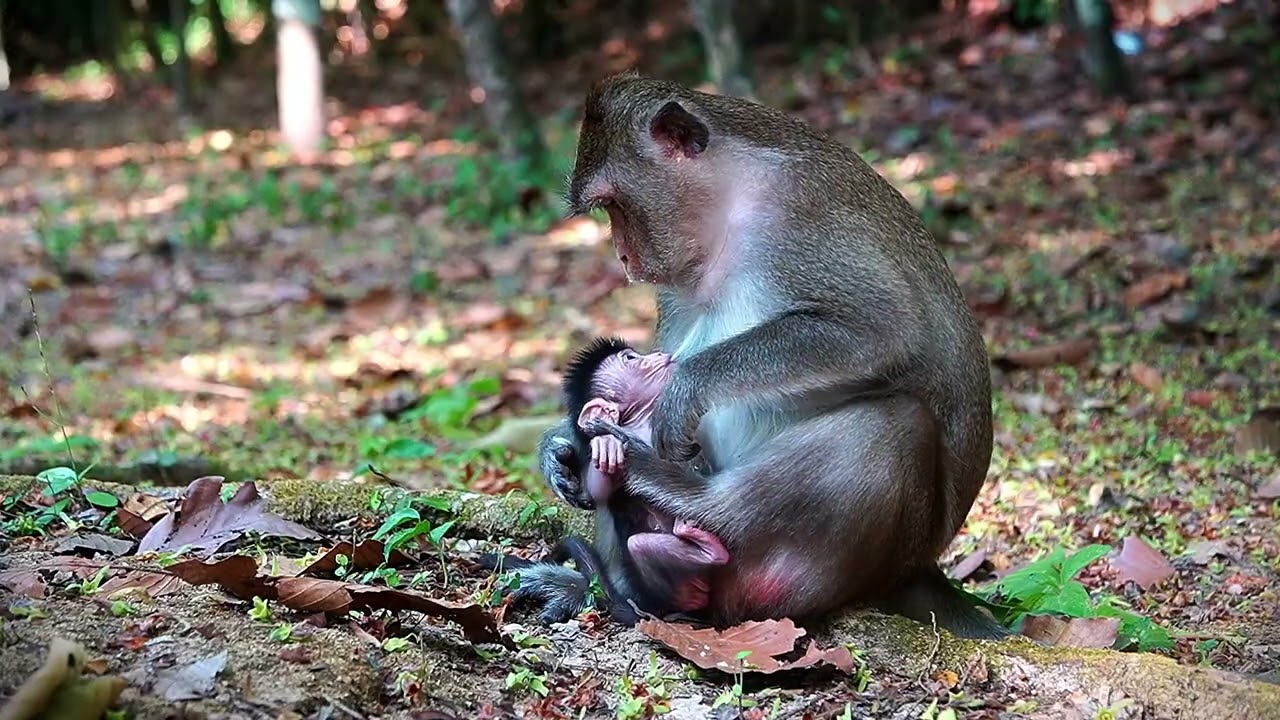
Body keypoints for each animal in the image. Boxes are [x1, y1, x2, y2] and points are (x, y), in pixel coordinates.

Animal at [529, 71, 1007, 639]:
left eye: (614, 205)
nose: (623, 256)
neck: (733, 197)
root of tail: (918, 570)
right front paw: (558, 445)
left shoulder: (800, 214)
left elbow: (882, 327)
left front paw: (687, 386)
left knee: (898, 423)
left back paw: (686, 497)